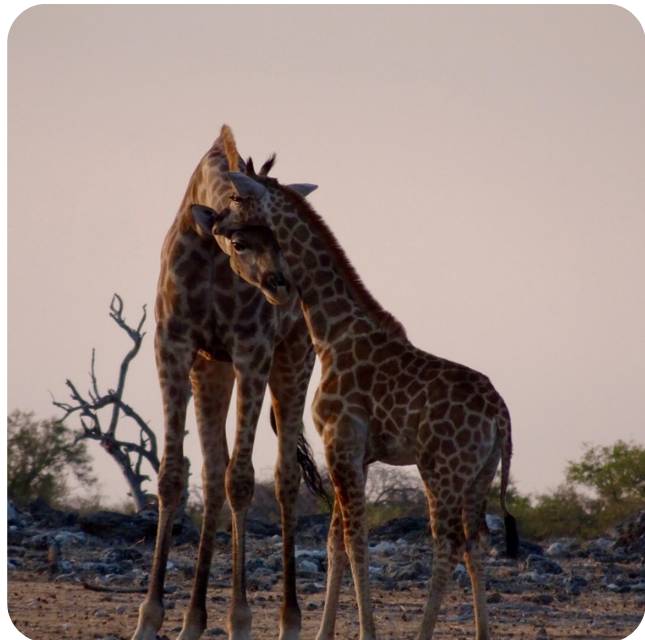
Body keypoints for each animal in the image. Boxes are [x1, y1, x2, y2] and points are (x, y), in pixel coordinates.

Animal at [131, 127, 324, 640]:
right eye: (238, 241)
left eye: (285, 235)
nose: (285, 286)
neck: (207, 251)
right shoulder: (174, 346)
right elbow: (173, 476)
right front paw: (150, 618)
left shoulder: (251, 350)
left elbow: (243, 480)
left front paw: (240, 620)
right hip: (211, 370)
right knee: (213, 474)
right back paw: (193, 620)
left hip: (294, 358)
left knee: (285, 477)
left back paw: (289, 621)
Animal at [191, 169, 520, 640]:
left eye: (237, 200)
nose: (214, 222)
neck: (331, 330)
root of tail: (501, 415)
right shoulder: (354, 453)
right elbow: (335, 542)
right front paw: (324, 632)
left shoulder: (341, 440)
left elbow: (354, 539)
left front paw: (366, 631)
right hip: (481, 471)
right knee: (475, 542)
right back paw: (482, 633)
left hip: (441, 469)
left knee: (447, 543)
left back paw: (424, 633)